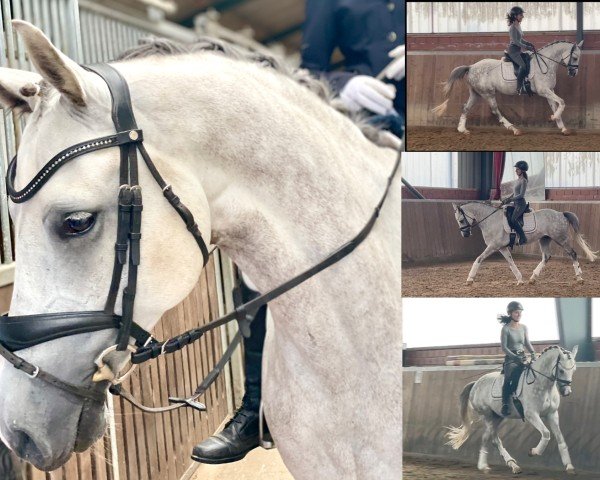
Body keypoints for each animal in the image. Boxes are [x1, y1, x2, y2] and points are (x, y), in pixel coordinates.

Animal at [434, 39, 584, 135]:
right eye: (575, 57)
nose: (573, 73)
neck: (545, 63)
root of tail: (471, 67)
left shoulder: (549, 91)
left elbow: (555, 105)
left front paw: (562, 127)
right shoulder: (543, 91)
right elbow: (562, 102)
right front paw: (554, 118)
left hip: (476, 93)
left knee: (466, 108)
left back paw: (462, 130)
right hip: (488, 93)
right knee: (495, 110)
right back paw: (514, 129)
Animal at [446, 344, 576, 476]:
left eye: (574, 370)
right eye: (561, 370)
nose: (567, 392)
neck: (541, 383)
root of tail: (476, 383)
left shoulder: (552, 414)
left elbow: (560, 438)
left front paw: (569, 466)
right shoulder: (531, 414)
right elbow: (546, 433)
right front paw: (533, 452)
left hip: (498, 417)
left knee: (490, 438)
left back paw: (507, 465)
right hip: (487, 415)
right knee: (491, 439)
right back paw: (491, 466)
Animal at [452, 200, 596, 284]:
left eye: (461, 220)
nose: (465, 234)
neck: (490, 219)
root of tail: (561, 214)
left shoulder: (493, 246)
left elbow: (478, 259)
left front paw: (470, 278)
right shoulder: (502, 247)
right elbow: (511, 263)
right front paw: (520, 279)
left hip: (561, 238)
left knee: (573, 254)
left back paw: (579, 277)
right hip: (544, 239)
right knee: (546, 257)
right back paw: (533, 278)